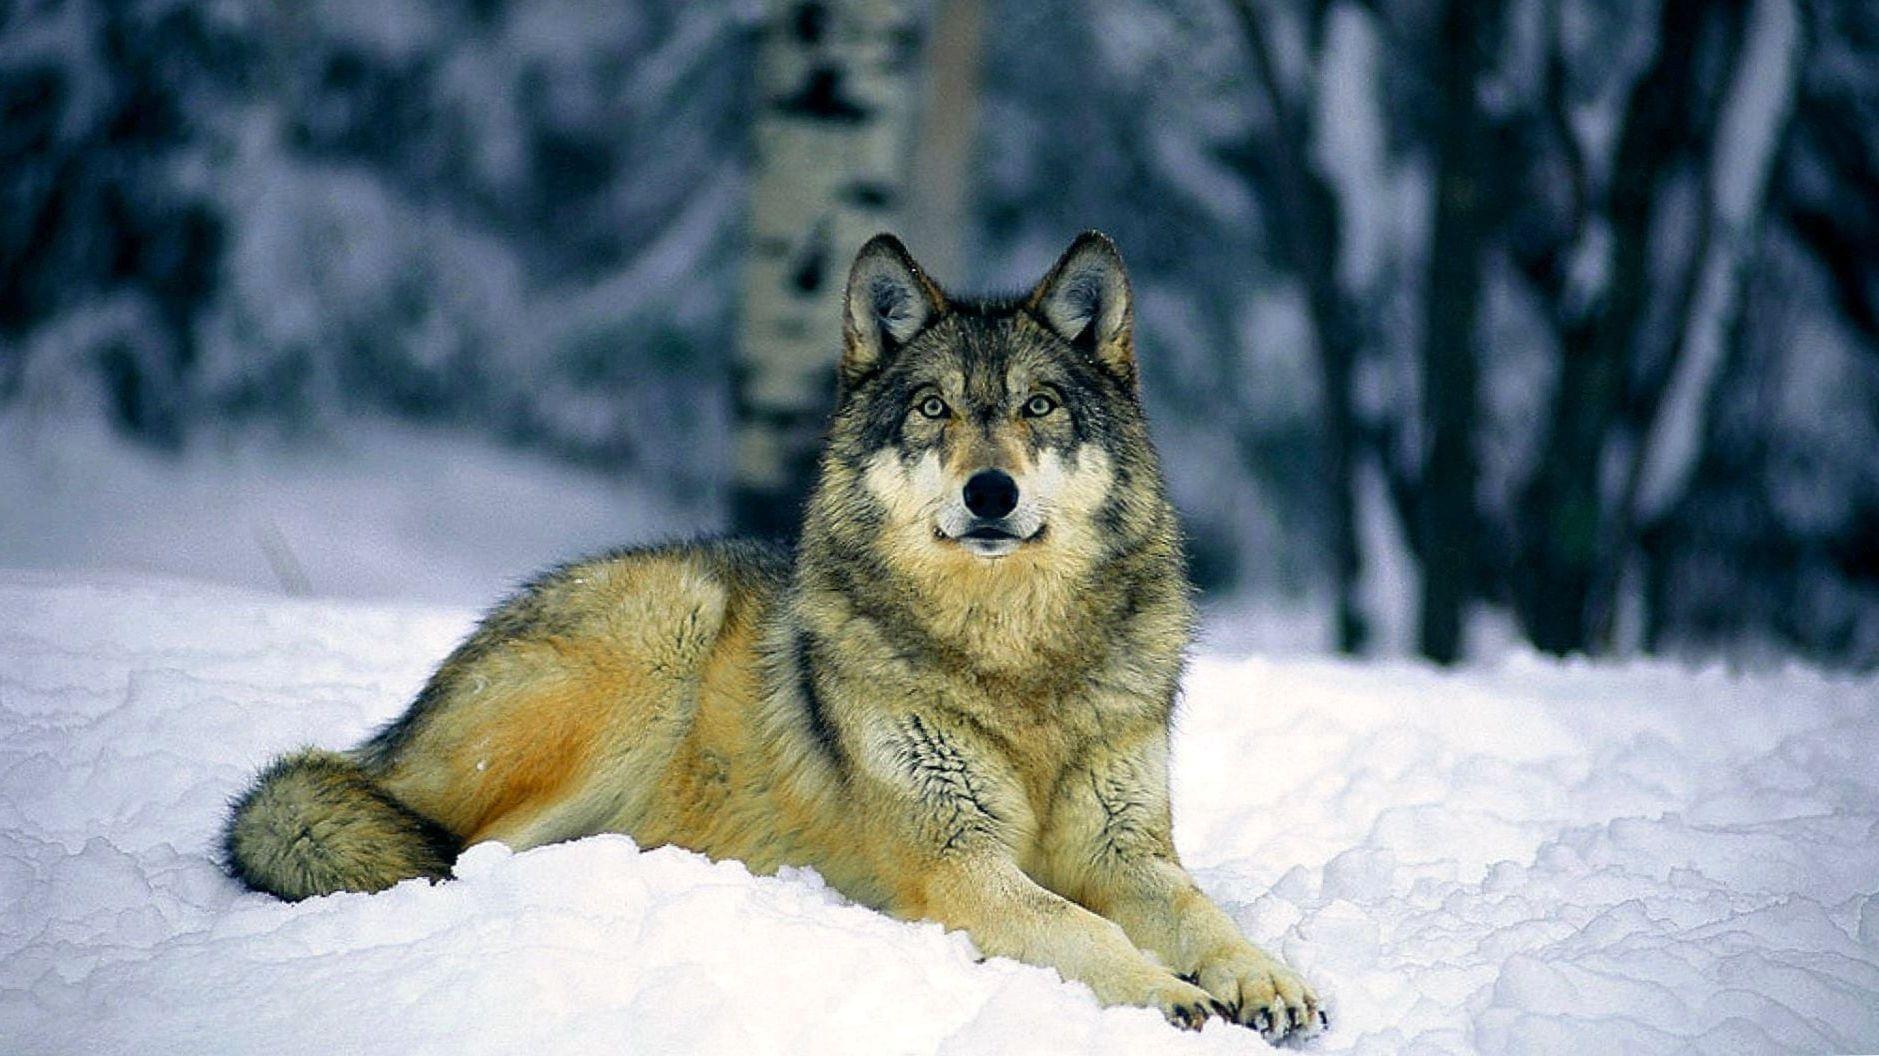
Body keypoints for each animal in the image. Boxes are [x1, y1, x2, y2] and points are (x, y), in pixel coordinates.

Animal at [224, 232, 1325, 1039]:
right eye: (933, 409)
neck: (1012, 659)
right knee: (466, 852)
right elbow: (1081, 930)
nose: (990, 491)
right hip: (656, 639)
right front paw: (1169, 994)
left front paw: (1265, 980)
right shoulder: (958, 862)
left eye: (1037, 406)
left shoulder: (1127, 851)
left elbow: (1203, 914)